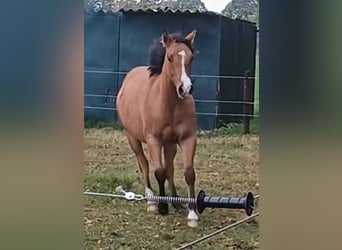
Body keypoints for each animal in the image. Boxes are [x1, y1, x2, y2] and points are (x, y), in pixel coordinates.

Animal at [117, 29, 199, 229]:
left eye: (191, 57)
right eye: (169, 58)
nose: (185, 89)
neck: (170, 105)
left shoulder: (187, 139)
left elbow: (188, 173)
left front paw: (192, 214)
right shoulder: (154, 140)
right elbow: (158, 172)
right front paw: (162, 206)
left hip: (170, 144)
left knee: (170, 168)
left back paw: (176, 202)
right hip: (133, 138)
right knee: (145, 164)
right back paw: (152, 200)